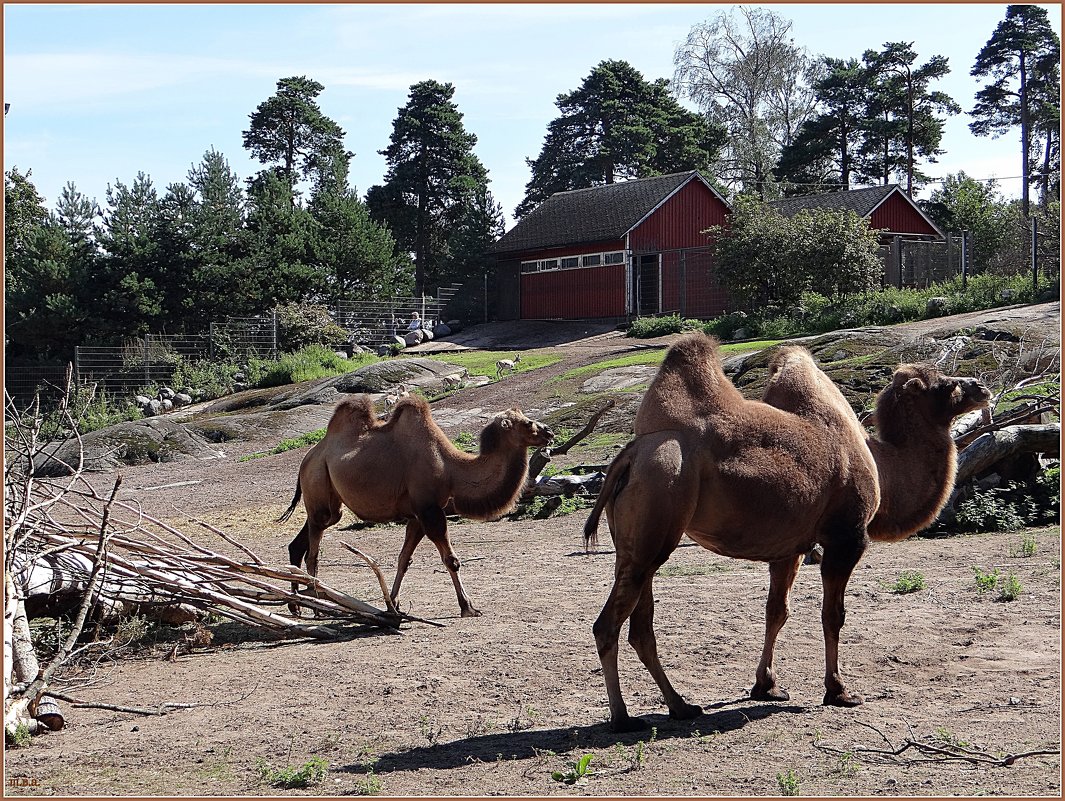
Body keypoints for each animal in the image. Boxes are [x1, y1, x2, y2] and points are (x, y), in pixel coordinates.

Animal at [279, 391, 553, 617]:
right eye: (527, 423)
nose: (549, 432)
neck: (451, 470)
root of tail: (309, 457)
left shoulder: (417, 516)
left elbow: (404, 559)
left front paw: (393, 605)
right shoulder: (429, 510)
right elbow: (451, 560)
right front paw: (468, 607)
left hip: (325, 503)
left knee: (299, 544)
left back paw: (296, 605)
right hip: (319, 483)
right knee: (313, 553)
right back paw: (317, 608)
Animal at [583, 332, 988, 732]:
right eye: (945, 384)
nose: (981, 387)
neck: (882, 465)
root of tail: (631, 454)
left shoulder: (790, 548)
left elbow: (776, 611)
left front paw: (767, 685)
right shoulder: (846, 537)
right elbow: (832, 615)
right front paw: (839, 691)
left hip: (637, 544)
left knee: (640, 626)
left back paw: (681, 706)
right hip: (658, 505)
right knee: (608, 625)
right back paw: (622, 717)